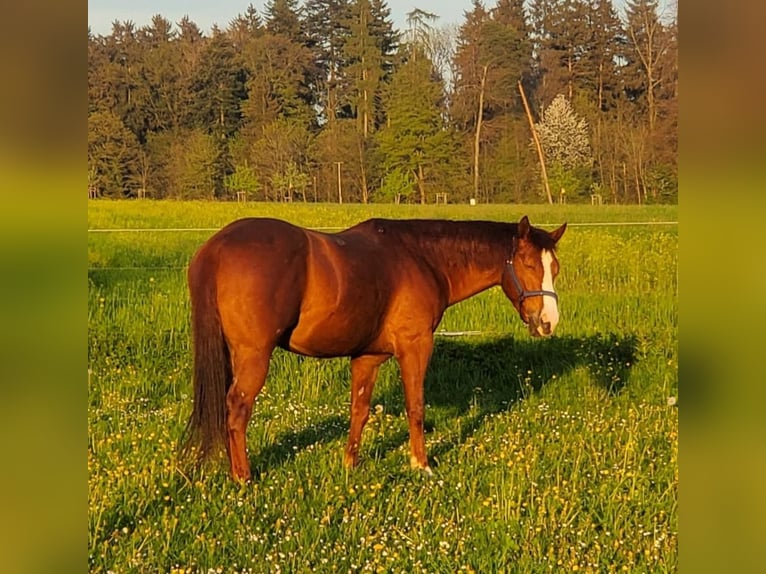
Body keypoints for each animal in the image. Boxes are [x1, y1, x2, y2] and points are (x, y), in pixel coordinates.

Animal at [182, 216, 564, 482]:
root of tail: (217, 247)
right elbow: (416, 407)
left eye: (555, 269)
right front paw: (421, 465)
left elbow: (359, 410)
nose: (548, 322)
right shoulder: (415, 347)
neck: (422, 258)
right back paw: (243, 478)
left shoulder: (368, 357)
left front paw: (350, 463)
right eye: (529, 264)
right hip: (254, 356)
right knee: (237, 410)